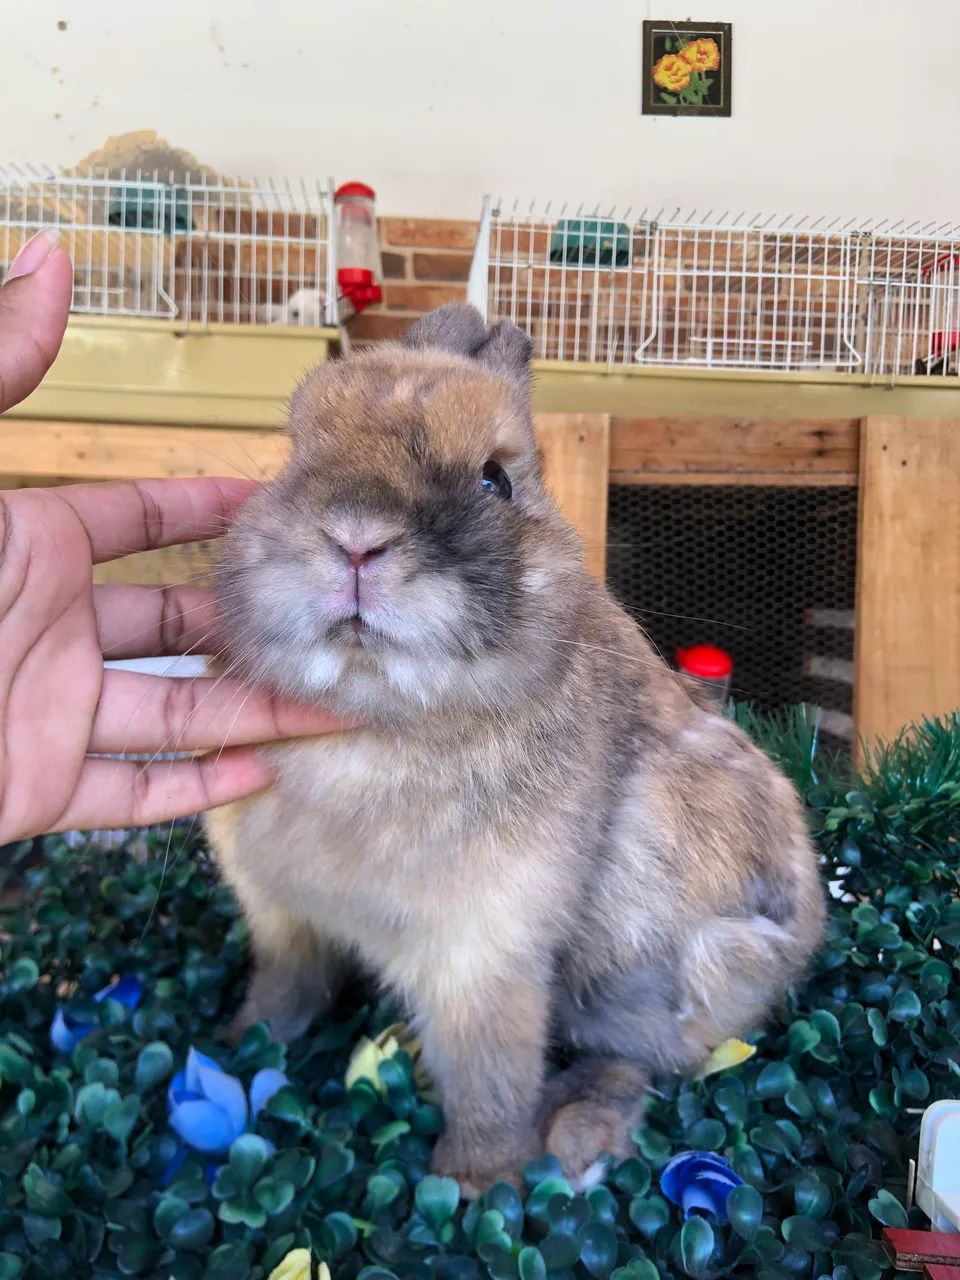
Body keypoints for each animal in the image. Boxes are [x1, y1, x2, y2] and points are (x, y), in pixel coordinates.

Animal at [205, 302, 825, 1195]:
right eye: (293, 450)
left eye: (494, 481)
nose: (356, 539)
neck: (376, 717)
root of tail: (800, 940)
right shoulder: (283, 917)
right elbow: (284, 989)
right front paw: (241, 1043)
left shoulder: (486, 955)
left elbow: (488, 1072)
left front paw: (475, 1183)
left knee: (650, 1055)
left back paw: (574, 1132)